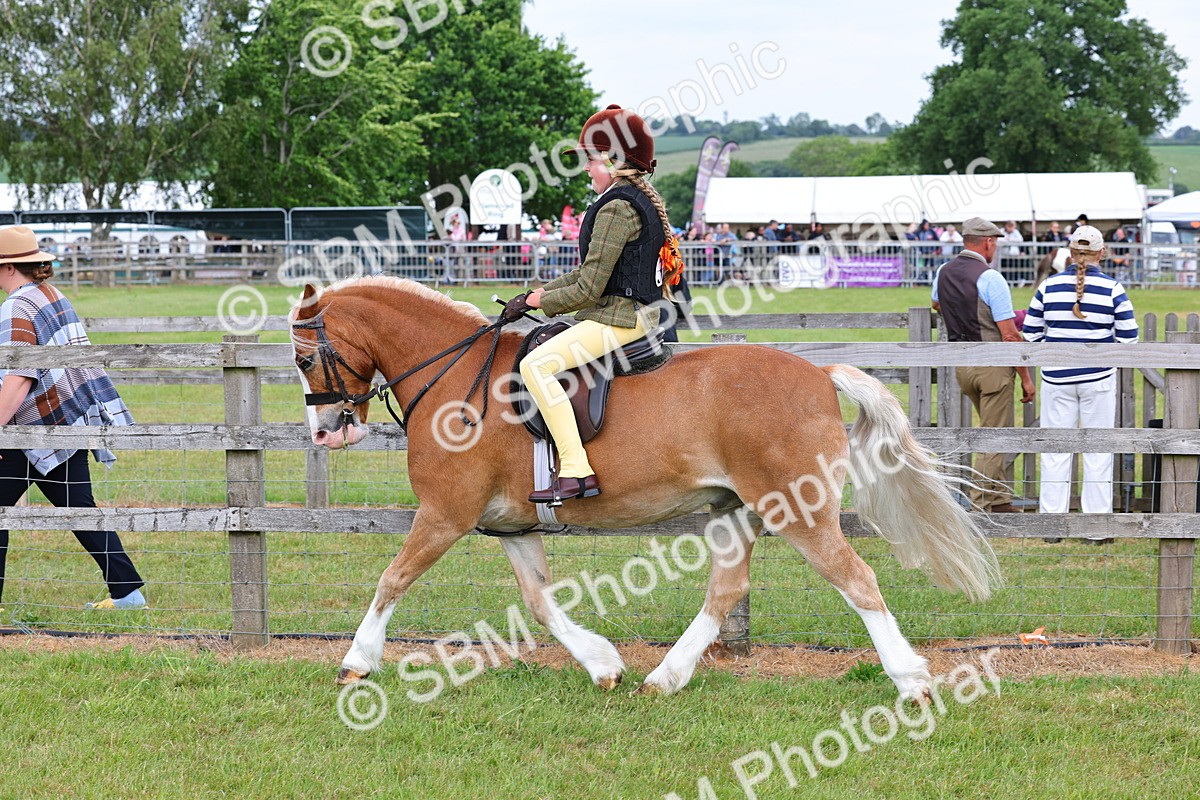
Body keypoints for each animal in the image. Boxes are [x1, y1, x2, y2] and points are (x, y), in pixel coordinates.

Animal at [289, 276, 1000, 701]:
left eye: (302, 357)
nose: (325, 431)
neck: (457, 376)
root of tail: (821, 375)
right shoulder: (510, 525)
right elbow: (541, 603)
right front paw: (603, 664)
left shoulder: (444, 514)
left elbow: (392, 580)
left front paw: (358, 659)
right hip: (735, 512)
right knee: (725, 591)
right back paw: (665, 677)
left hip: (797, 510)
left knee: (857, 580)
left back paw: (910, 680)